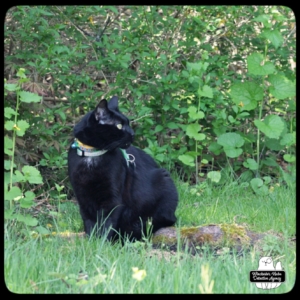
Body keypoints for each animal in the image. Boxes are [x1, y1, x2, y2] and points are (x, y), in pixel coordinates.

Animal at [68, 96, 178, 241]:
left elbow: (107, 223)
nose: (133, 133)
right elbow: (89, 221)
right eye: (119, 126)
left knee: (164, 219)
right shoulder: (82, 196)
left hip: (164, 181)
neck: (92, 155)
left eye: (129, 123)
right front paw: (91, 241)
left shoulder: (112, 199)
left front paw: (102, 242)